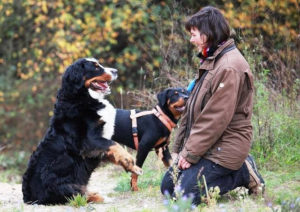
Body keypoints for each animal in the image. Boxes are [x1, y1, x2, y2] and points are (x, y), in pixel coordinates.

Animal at [22, 57, 142, 205]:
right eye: (95, 67)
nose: (115, 71)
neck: (82, 98)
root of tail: (28, 197)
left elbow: (115, 150)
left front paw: (131, 167)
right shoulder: (89, 141)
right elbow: (115, 145)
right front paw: (130, 161)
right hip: (55, 180)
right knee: (76, 195)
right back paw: (100, 197)